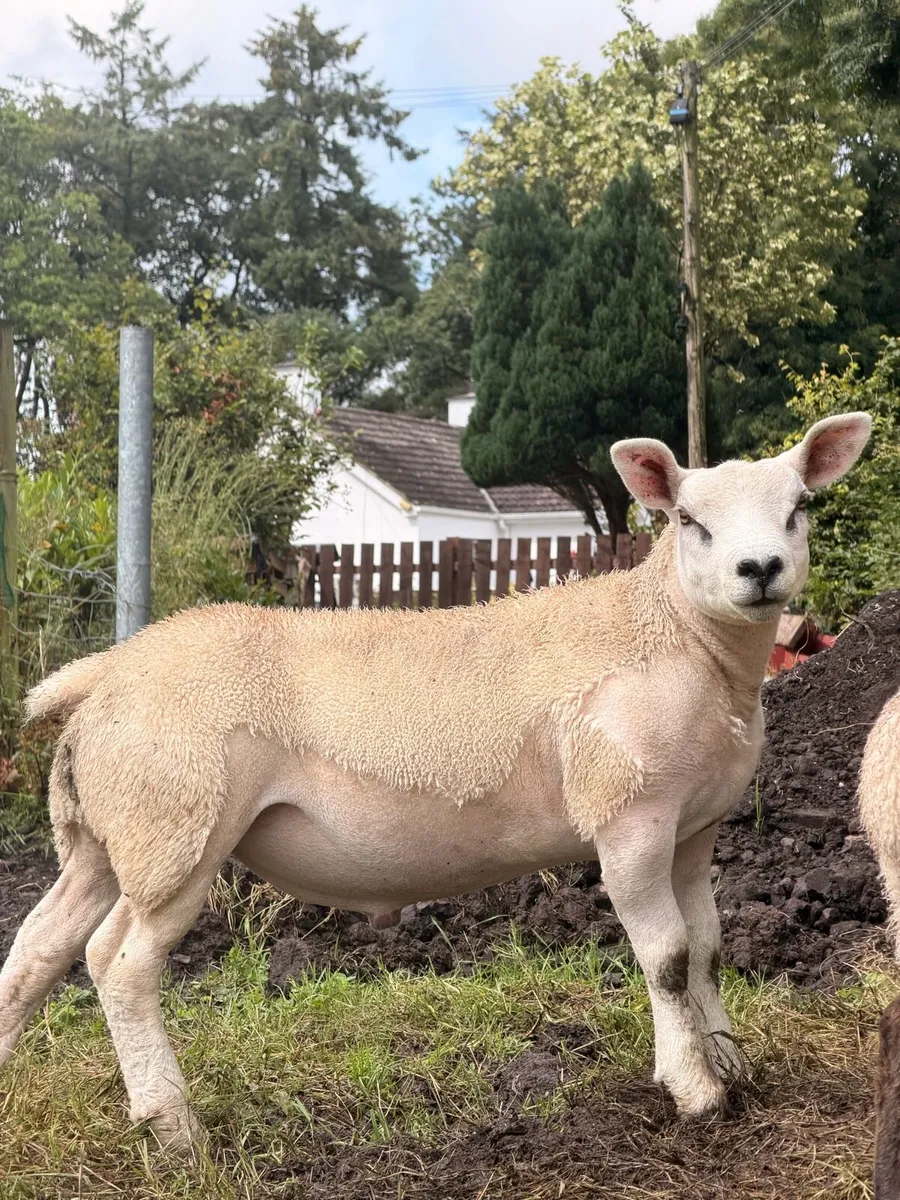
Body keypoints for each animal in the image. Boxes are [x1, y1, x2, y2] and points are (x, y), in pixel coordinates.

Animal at [0, 412, 871, 1153]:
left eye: (798, 507)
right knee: (117, 964)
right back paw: (175, 1127)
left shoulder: (696, 826)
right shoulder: (630, 816)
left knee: (39, 945)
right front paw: (696, 1089)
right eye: (690, 520)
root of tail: (107, 672)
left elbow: (709, 952)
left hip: (109, 835)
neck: (674, 635)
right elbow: (666, 958)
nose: (759, 570)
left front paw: (730, 1061)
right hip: (176, 822)